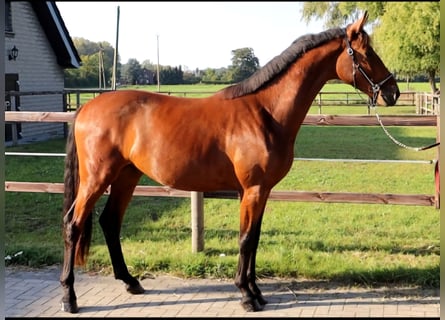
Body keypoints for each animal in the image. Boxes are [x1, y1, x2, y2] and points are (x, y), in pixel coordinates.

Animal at [59, 12, 398, 312]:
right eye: (366, 53)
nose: (392, 92)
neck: (266, 112)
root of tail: (87, 107)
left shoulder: (259, 191)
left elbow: (255, 239)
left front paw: (256, 291)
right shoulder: (253, 190)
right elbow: (246, 239)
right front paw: (246, 295)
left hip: (126, 176)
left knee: (110, 222)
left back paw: (131, 282)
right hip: (97, 178)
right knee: (73, 224)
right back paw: (69, 297)